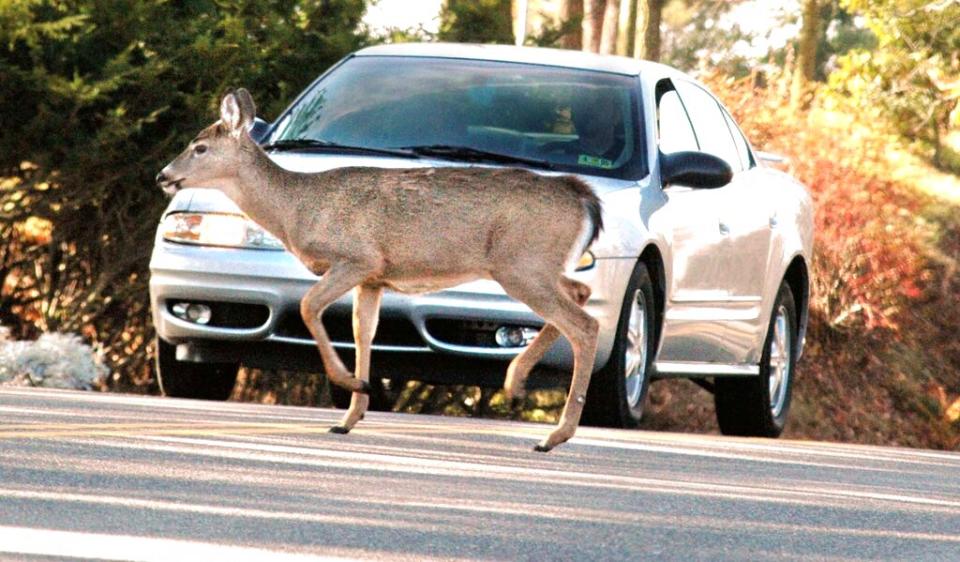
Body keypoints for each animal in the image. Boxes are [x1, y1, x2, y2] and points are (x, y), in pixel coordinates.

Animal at [157, 88, 600, 450]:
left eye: (199, 148)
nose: (164, 176)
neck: (298, 209)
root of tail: (583, 198)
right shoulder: (374, 279)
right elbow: (363, 332)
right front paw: (349, 417)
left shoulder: (357, 258)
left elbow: (309, 307)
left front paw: (351, 384)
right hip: (537, 266)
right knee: (581, 293)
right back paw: (516, 383)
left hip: (521, 264)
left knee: (585, 324)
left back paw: (553, 435)